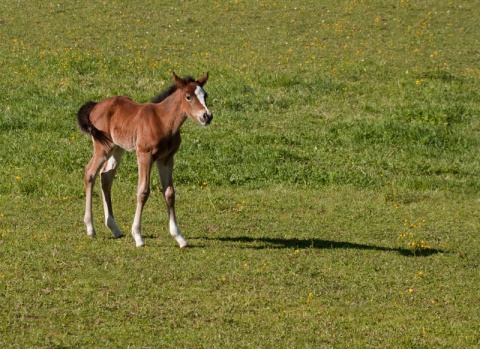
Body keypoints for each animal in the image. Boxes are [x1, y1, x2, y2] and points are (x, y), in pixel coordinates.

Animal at [77, 72, 212, 247]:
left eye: (205, 95)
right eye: (188, 96)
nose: (207, 116)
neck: (163, 121)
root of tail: (95, 105)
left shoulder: (166, 159)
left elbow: (170, 193)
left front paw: (179, 238)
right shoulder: (144, 155)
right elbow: (143, 191)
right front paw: (138, 236)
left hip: (117, 148)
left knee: (106, 176)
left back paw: (115, 228)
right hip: (102, 147)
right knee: (90, 173)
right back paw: (90, 228)